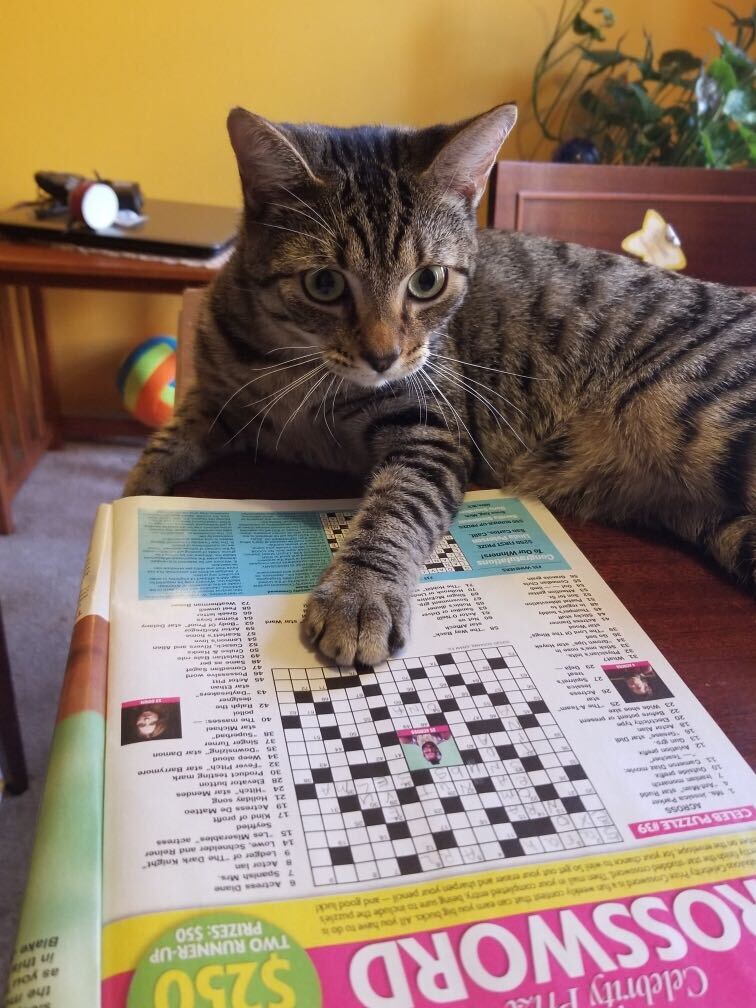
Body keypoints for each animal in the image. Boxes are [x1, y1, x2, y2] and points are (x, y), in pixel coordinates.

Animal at [126, 106, 756, 665]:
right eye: (324, 283)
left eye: (427, 280)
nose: (383, 357)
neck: (295, 370)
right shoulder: (216, 392)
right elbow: (173, 433)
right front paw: (136, 491)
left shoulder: (433, 428)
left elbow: (396, 509)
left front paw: (359, 595)